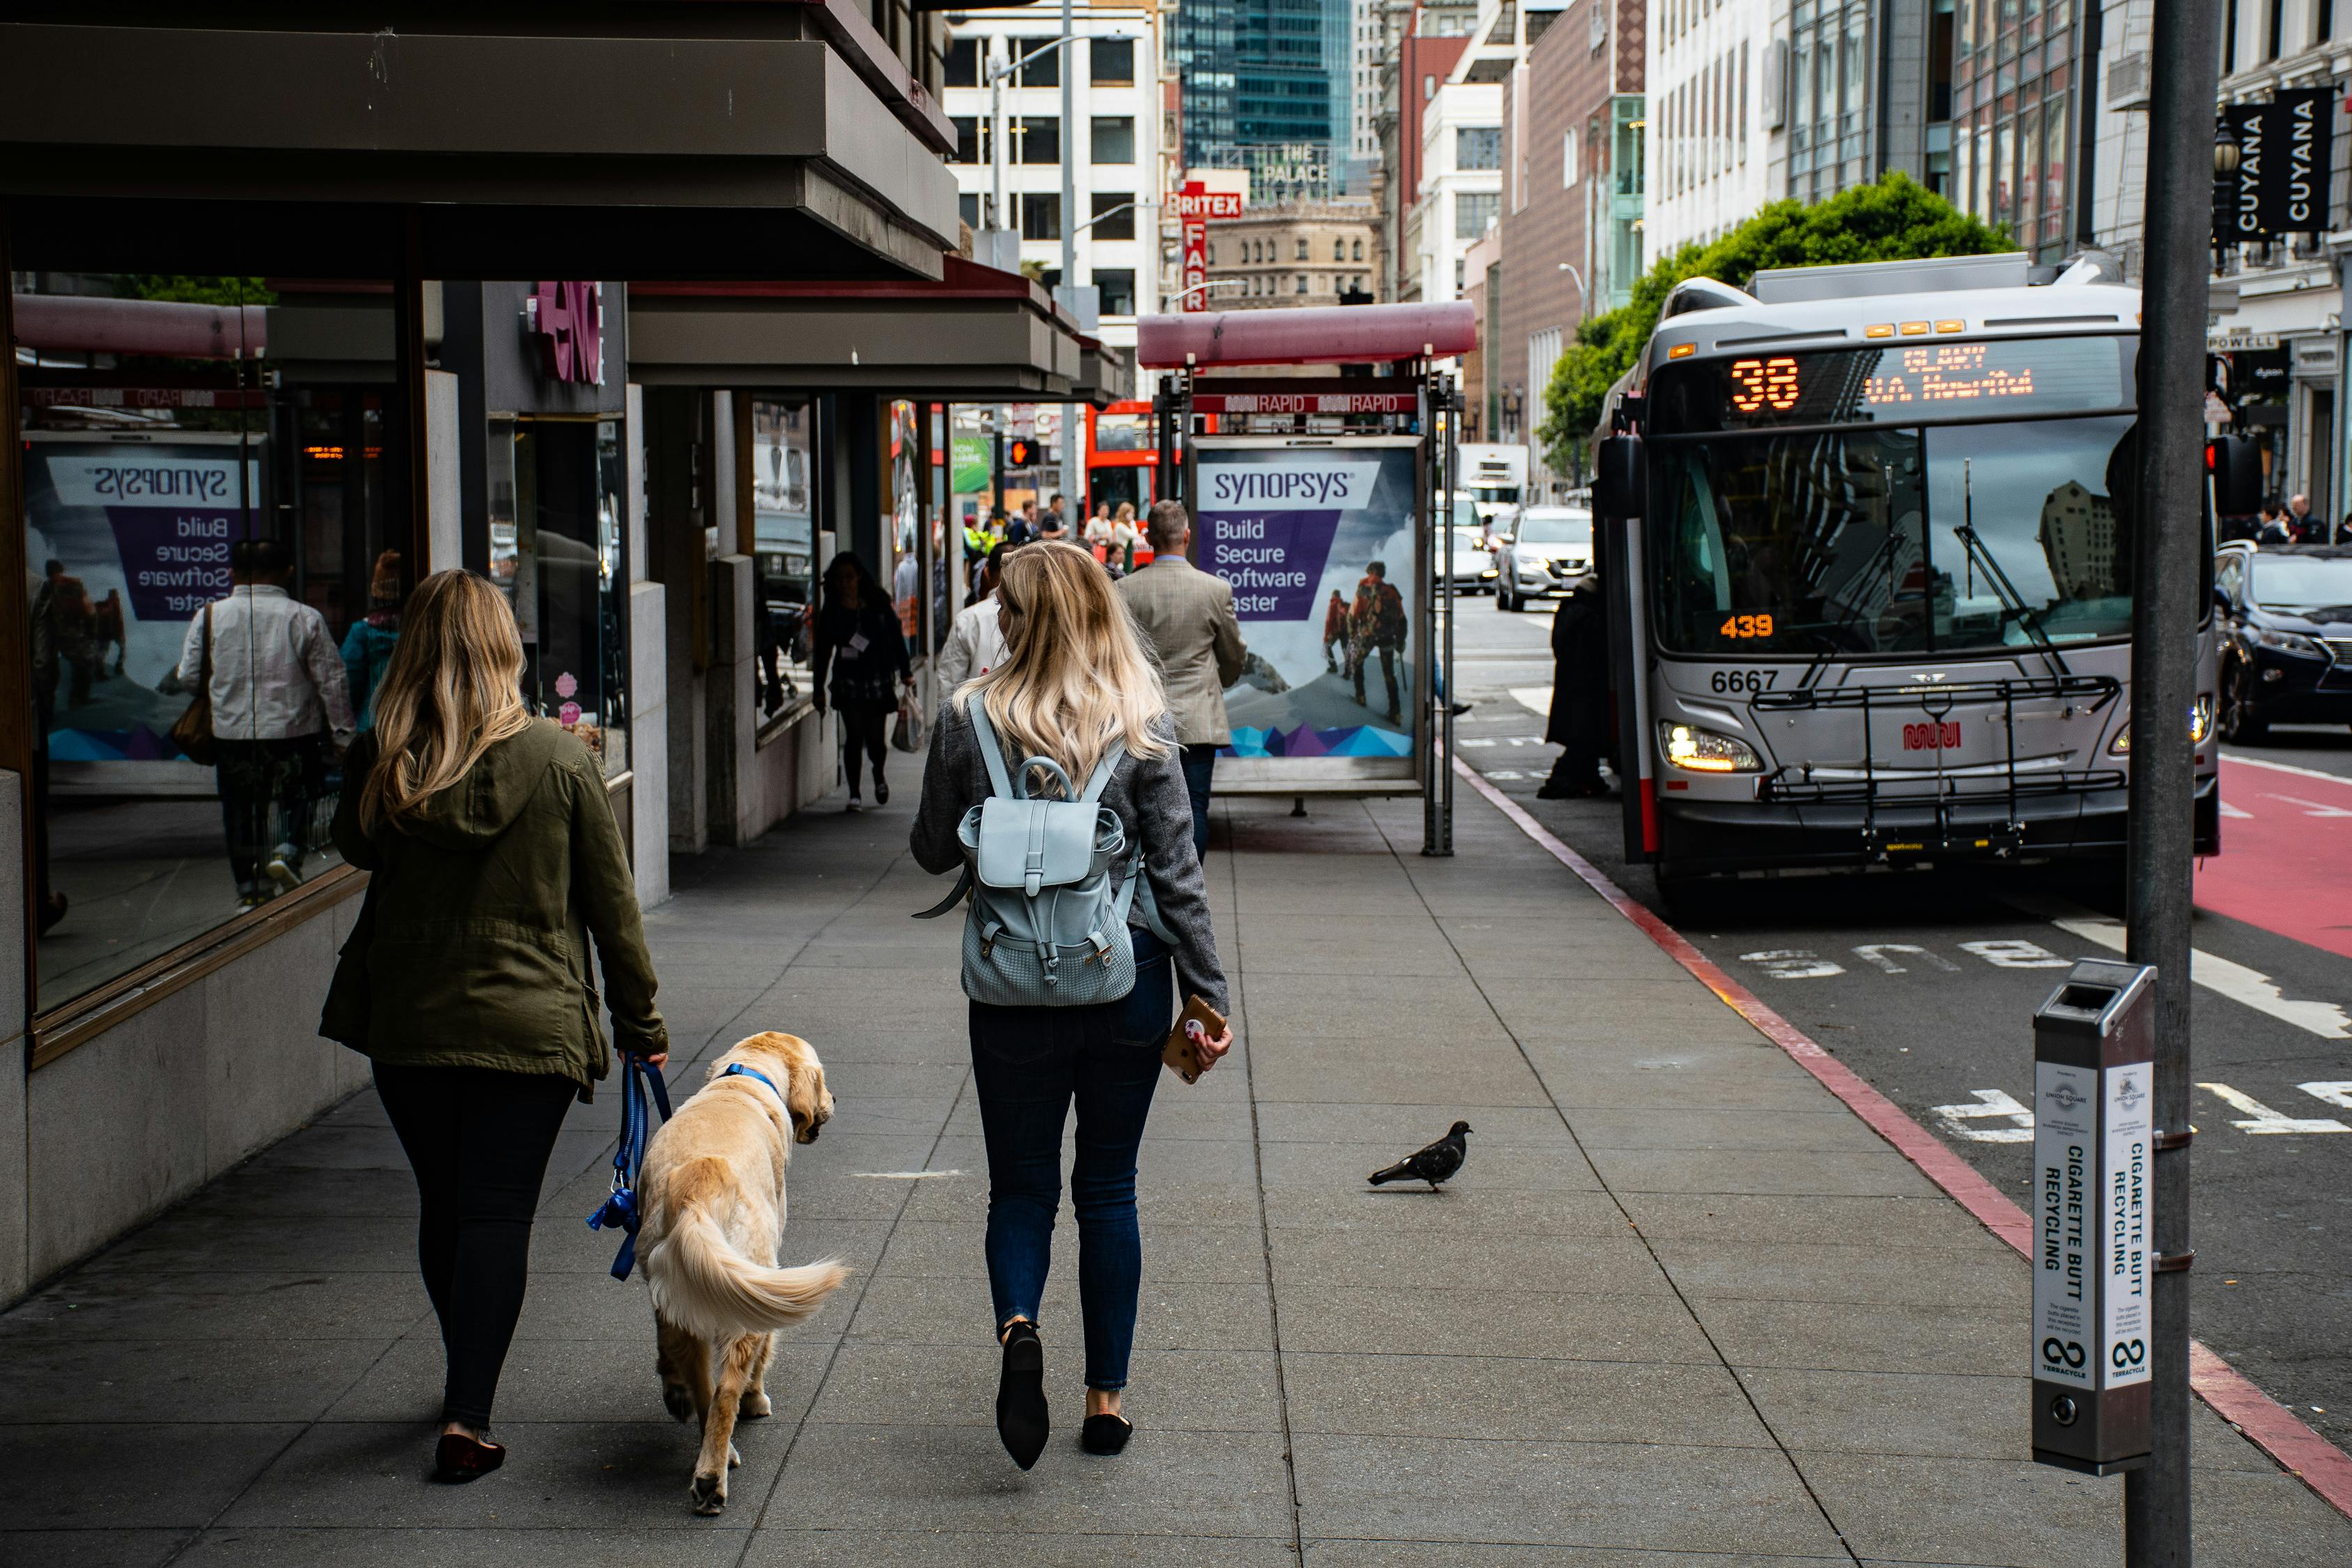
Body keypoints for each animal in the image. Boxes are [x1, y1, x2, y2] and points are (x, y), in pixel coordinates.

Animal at [640, 1029, 851, 1504]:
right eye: (822, 1077)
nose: (834, 1098)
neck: (743, 1079)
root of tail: (698, 1187)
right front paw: (756, 1400)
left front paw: (673, 1389)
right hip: (747, 1284)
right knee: (726, 1390)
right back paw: (711, 1477)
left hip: (681, 1288)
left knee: (699, 1380)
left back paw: (698, 1427)